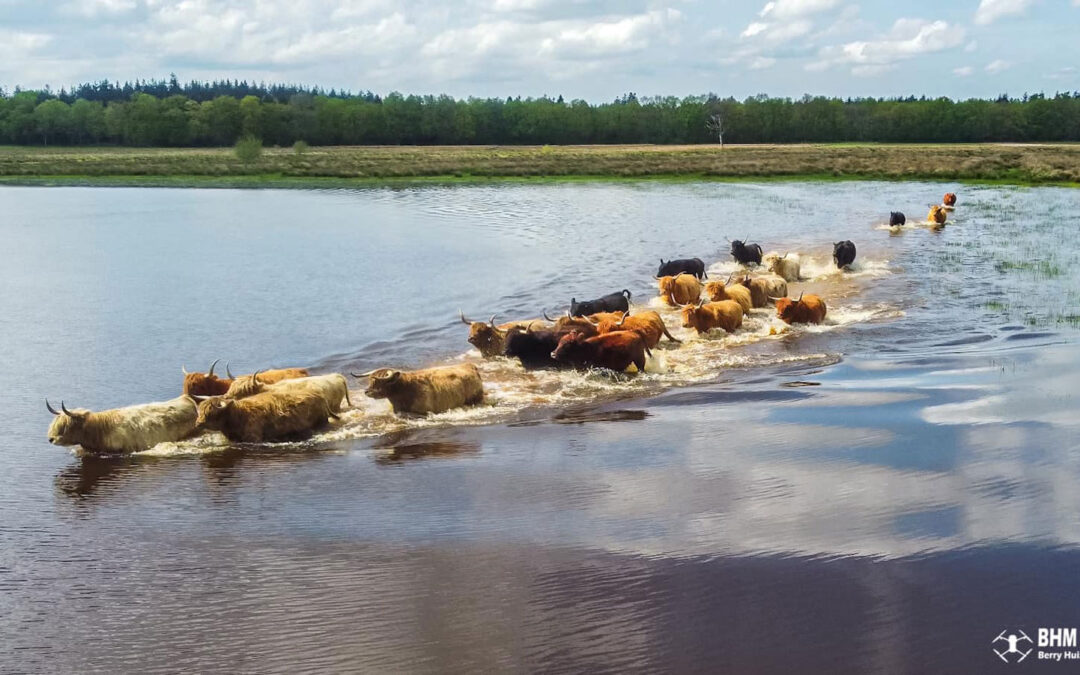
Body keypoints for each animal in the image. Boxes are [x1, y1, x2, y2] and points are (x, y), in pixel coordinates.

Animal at [192, 388, 330, 442]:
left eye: (210, 412)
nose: (198, 423)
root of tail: (319, 395)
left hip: (321, 421)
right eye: (200, 410)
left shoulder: (253, 437)